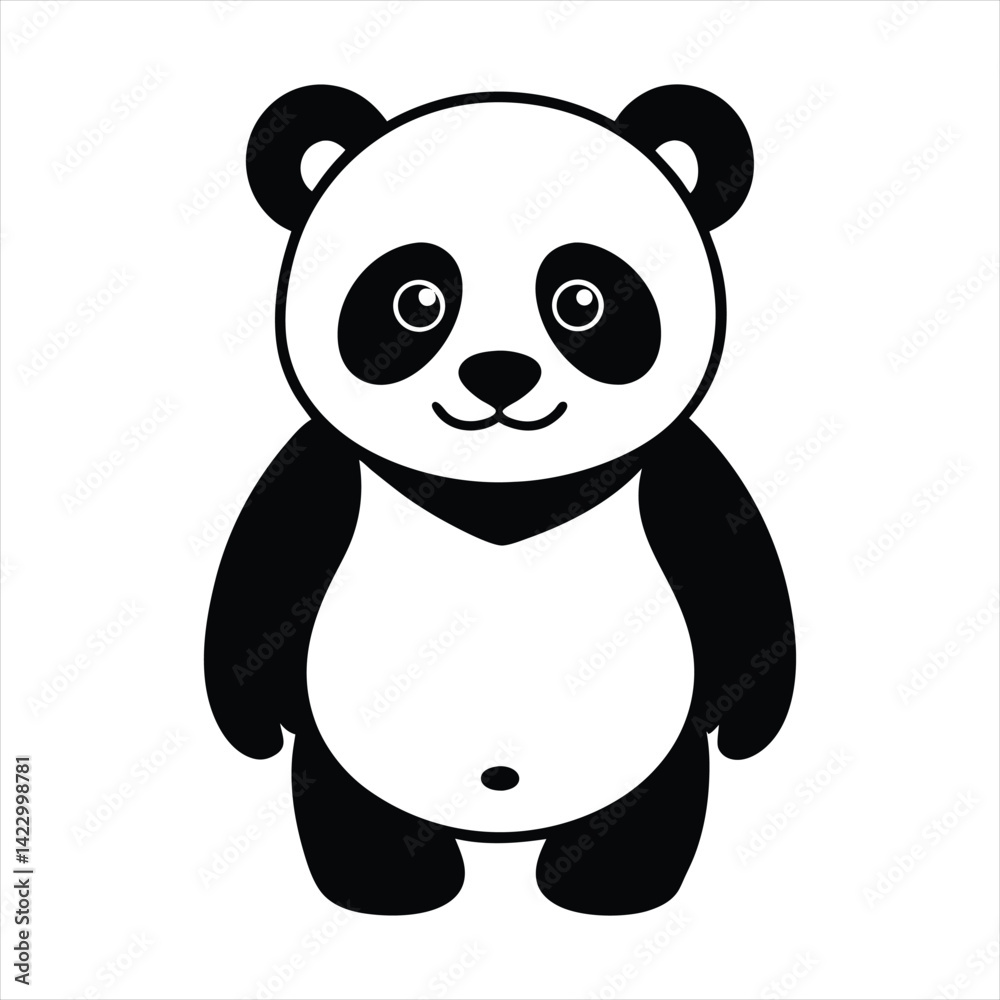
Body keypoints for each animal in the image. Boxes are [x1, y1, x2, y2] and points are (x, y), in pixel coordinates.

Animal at [205, 84, 795, 917]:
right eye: (416, 300)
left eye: (580, 299)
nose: (499, 373)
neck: (500, 487)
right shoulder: (321, 477)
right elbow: (260, 581)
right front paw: (251, 728)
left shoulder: (680, 476)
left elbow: (744, 587)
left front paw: (750, 727)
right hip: (348, 746)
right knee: (344, 800)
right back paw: (391, 887)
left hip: (649, 745)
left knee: (650, 801)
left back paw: (608, 887)